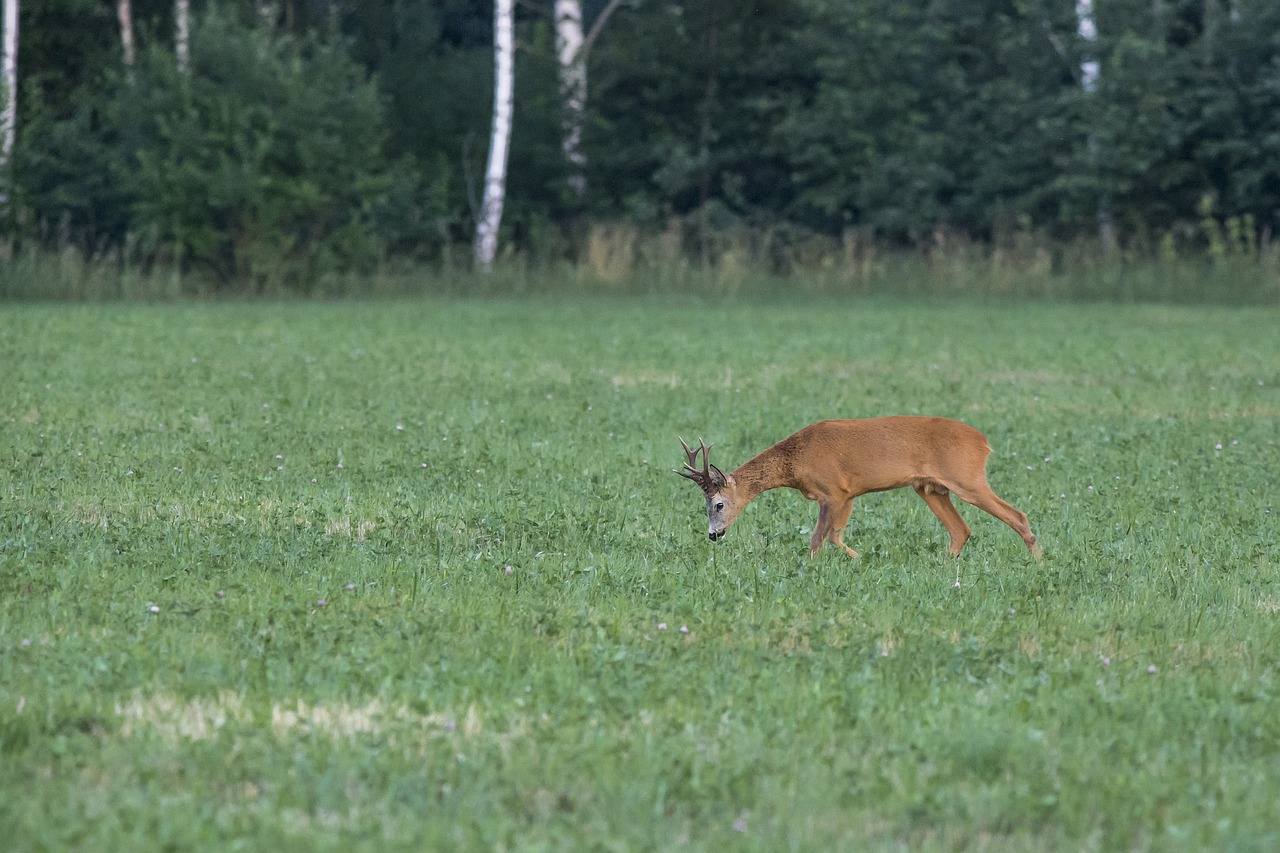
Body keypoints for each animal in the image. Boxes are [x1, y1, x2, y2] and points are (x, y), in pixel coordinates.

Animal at [680, 417, 1039, 558]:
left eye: (719, 504)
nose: (713, 535)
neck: (795, 460)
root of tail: (984, 442)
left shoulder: (831, 491)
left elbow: (817, 539)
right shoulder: (849, 494)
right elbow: (836, 537)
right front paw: (861, 559)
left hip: (967, 478)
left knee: (1017, 515)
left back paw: (1039, 562)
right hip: (930, 488)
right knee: (960, 530)